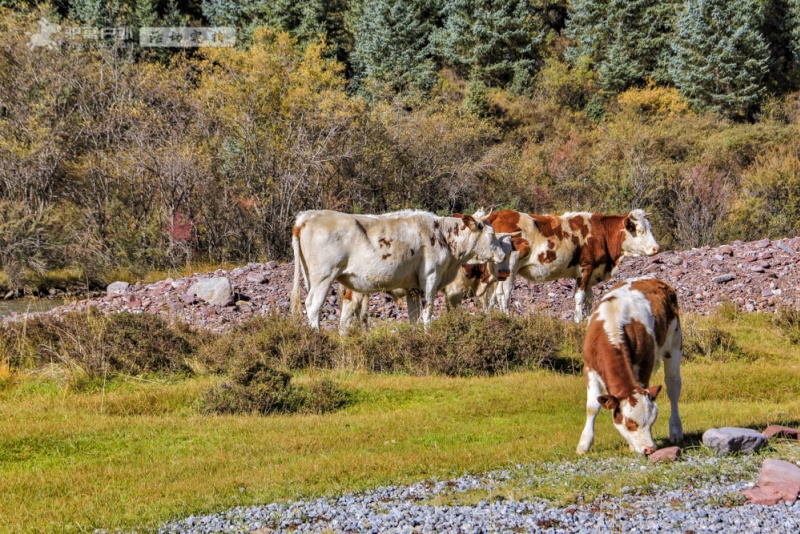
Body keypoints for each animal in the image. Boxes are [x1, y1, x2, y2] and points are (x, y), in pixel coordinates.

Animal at [484, 209, 660, 322]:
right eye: (640, 230)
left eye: (651, 228)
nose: (656, 248)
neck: (601, 233)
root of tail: (499, 214)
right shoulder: (586, 268)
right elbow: (580, 297)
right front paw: (578, 320)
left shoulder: (592, 273)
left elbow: (589, 300)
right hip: (510, 267)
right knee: (504, 293)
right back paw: (507, 316)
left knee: (492, 294)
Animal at [580, 278, 684, 458]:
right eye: (629, 422)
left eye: (652, 420)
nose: (650, 449)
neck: (612, 325)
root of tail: (653, 279)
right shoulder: (590, 368)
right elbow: (592, 406)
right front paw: (584, 444)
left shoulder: (644, 366)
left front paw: (631, 446)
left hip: (674, 345)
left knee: (673, 388)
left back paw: (676, 431)